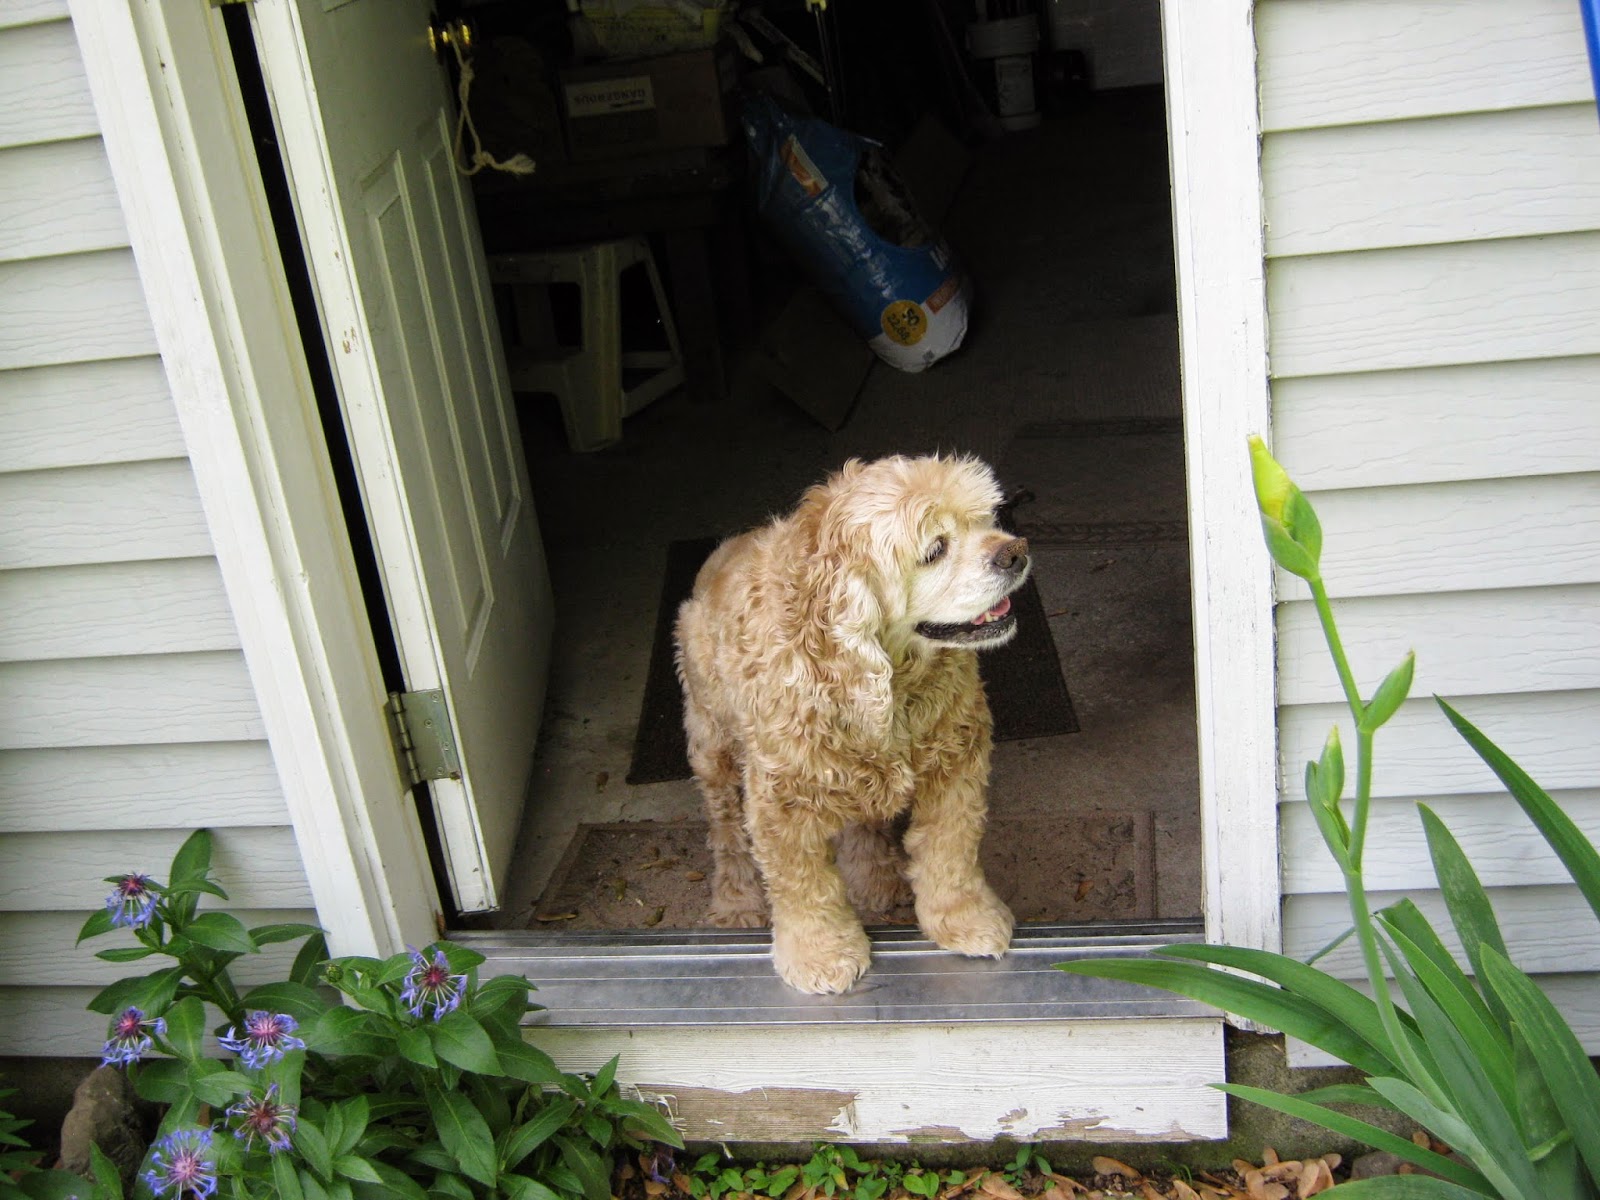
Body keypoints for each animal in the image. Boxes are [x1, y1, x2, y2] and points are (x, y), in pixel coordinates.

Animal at [674, 455, 1029, 993]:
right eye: (935, 549)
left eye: (987, 520)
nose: (1015, 552)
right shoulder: (781, 798)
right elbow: (801, 882)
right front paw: (820, 955)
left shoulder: (957, 757)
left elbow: (950, 847)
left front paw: (965, 919)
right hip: (711, 742)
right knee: (727, 831)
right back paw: (736, 902)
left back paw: (876, 878)